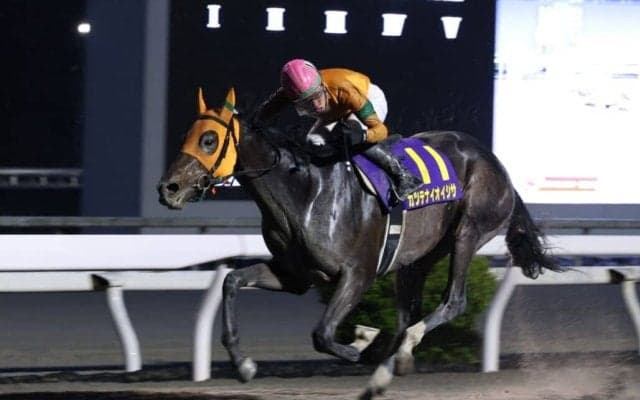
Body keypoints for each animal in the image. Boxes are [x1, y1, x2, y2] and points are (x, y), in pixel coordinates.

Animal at [157, 88, 561, 398]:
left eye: (209, 140)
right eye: (186, 136)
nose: (168, 188)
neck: (306, 192)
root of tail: (495, 162)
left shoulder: (358, 274)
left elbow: (321, 335)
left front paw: (364, 348)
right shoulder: (295, 275)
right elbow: (232, 280)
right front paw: (243, 364)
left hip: (469, 231)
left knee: (452, 302)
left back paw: (390, 358)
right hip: (420, 255)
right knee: (408, 312)